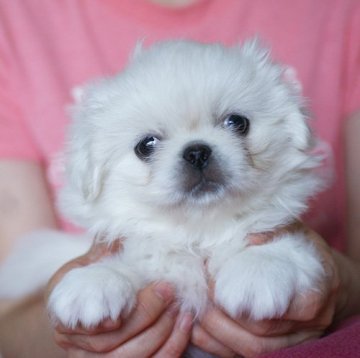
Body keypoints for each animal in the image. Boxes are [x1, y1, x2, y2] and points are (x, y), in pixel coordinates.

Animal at [1, 40, 326, 334]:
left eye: (237, 122)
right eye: (146, 146)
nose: (197, 152)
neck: (197, 234)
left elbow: (281, 249)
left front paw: (256, 271)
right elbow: (131, 264)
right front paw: (93, 282)